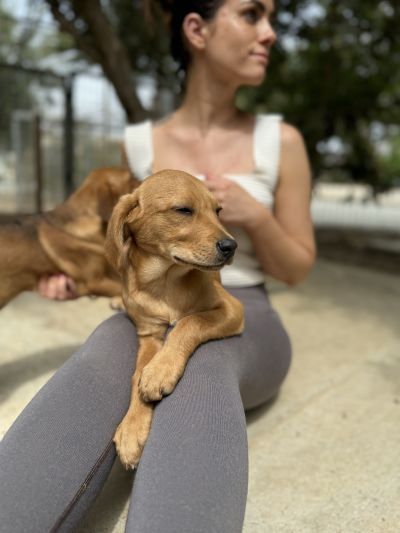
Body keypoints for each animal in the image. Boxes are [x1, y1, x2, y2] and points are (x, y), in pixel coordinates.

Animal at [105, 169, 245, 469]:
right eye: (183, 210)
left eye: (218, 211)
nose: (232, 246)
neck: (166, 281)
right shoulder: (149, 333)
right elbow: (137, 373)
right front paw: (132, 427)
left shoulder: (232, 309)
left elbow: (189, 323)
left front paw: (160, 371)